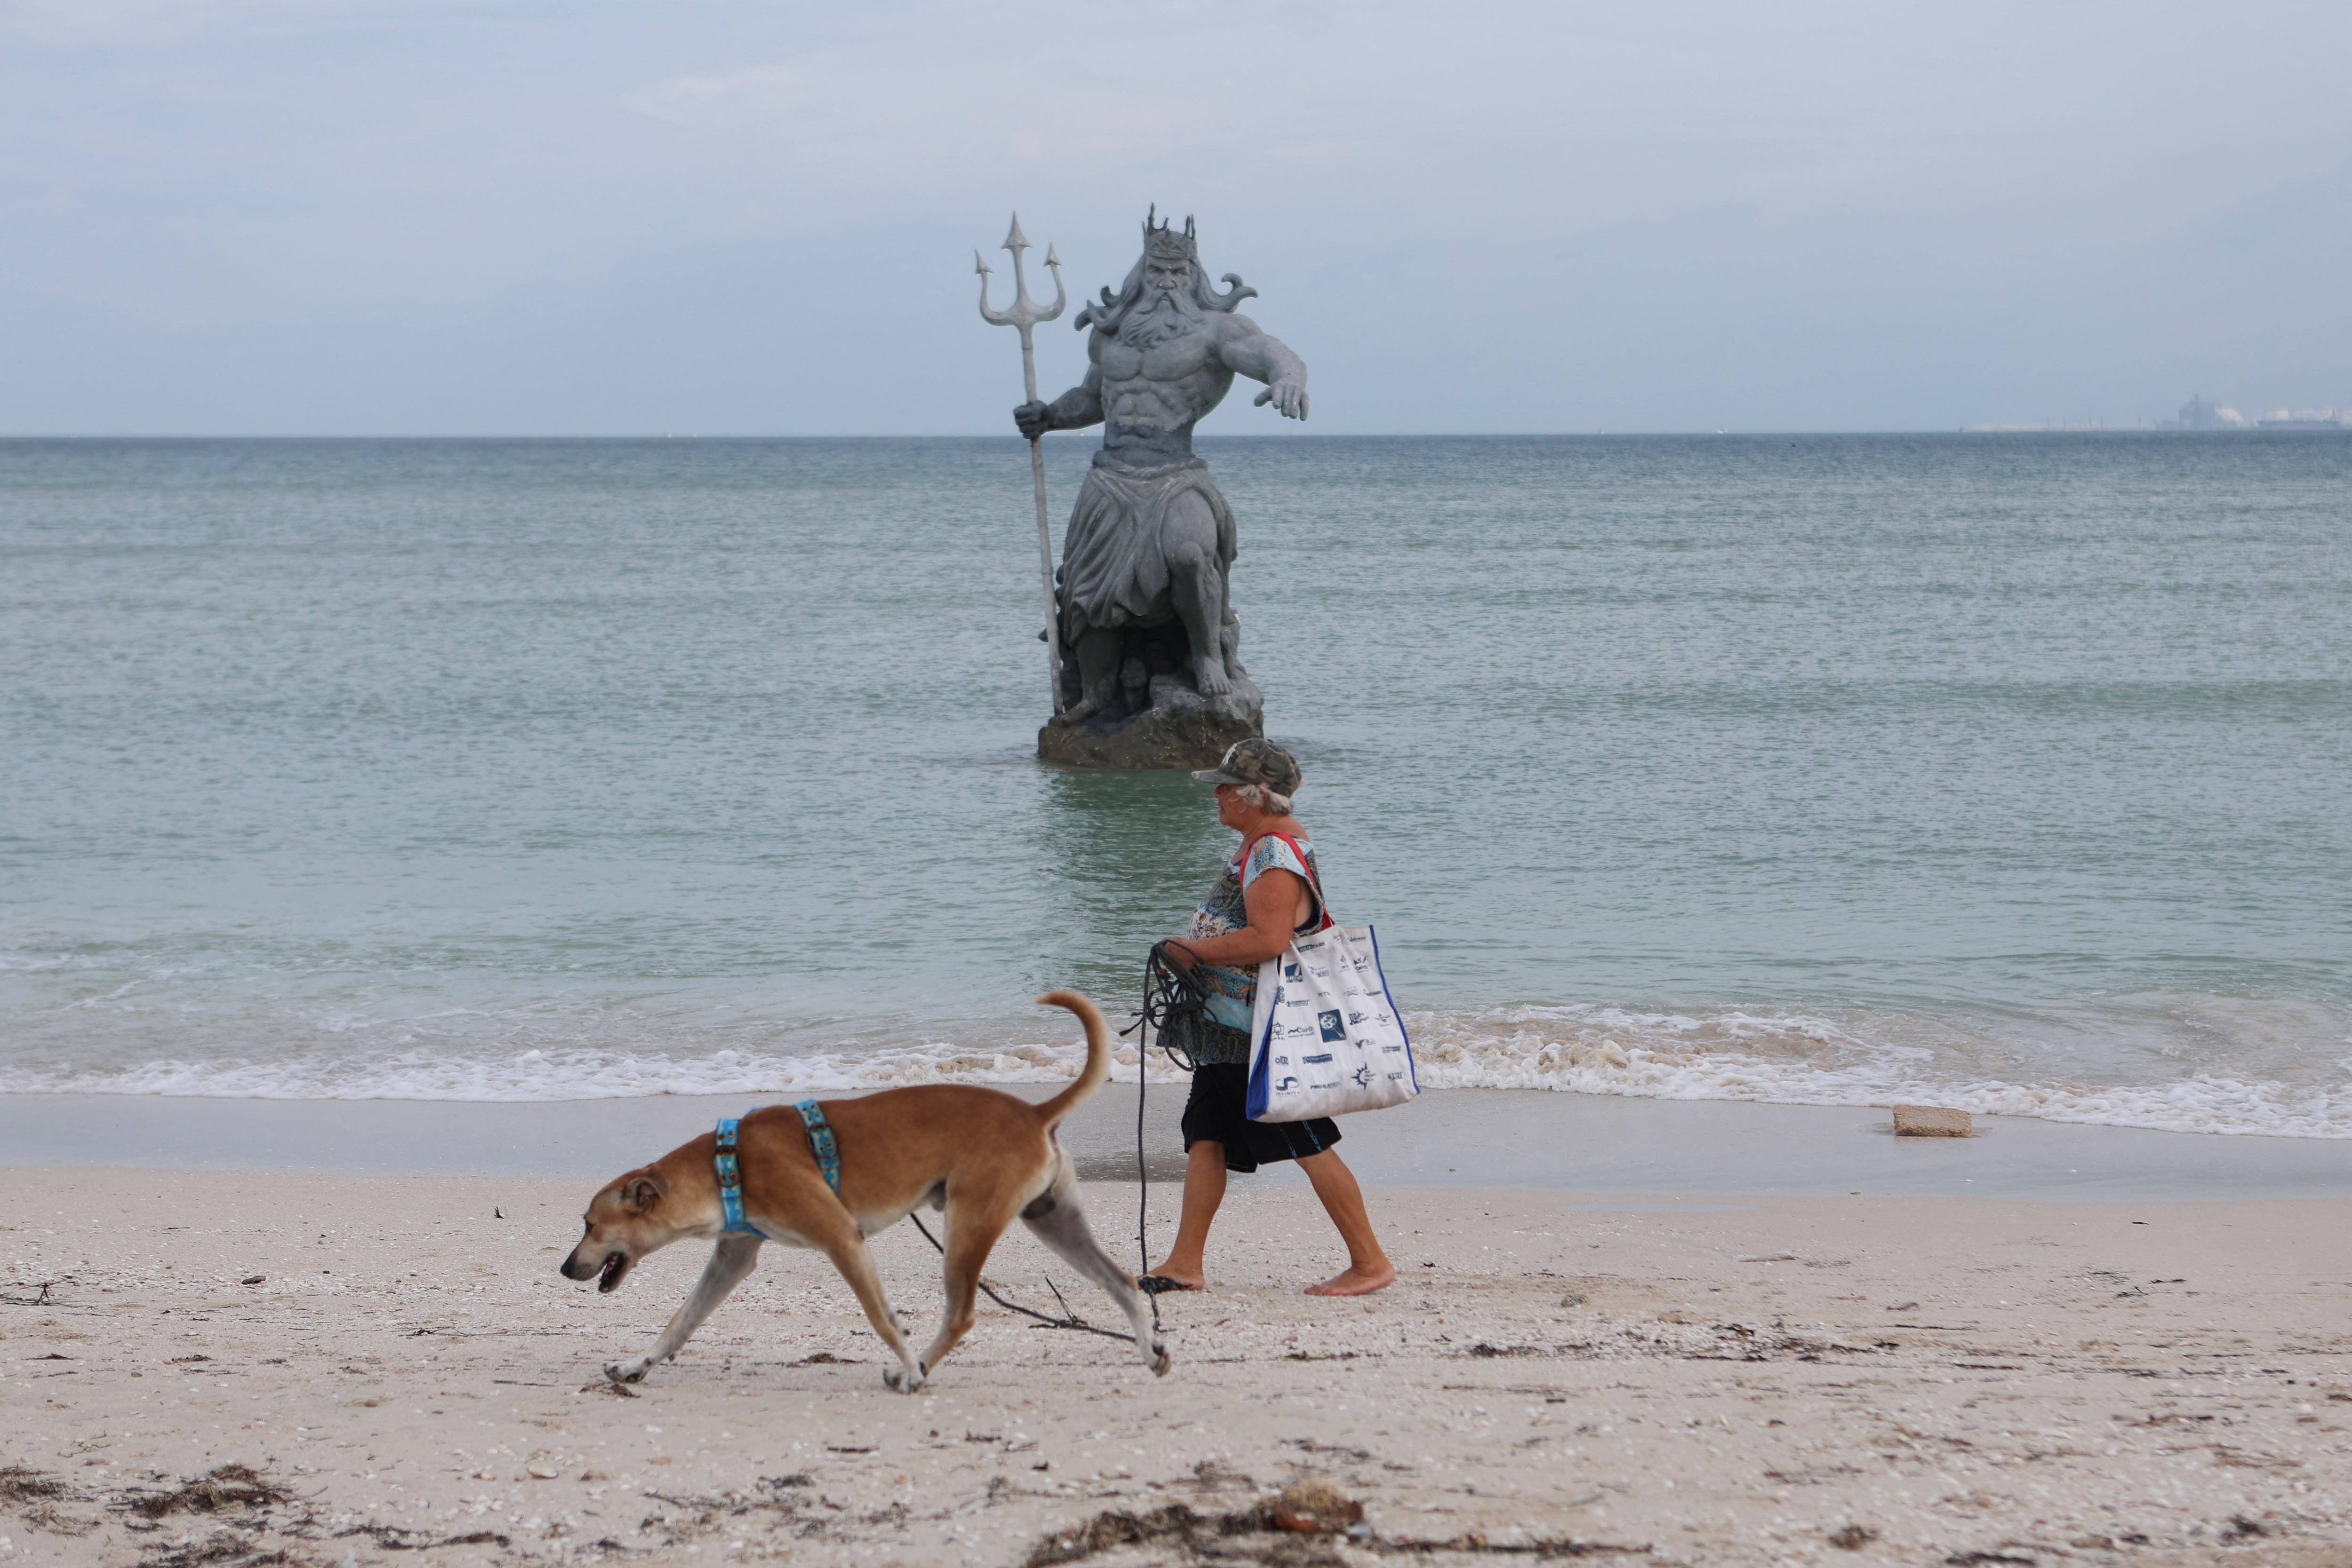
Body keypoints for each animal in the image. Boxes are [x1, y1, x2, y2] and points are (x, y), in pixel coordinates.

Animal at [562, 1001, 1167, 1392]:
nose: (567, 1267)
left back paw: (914, 1371)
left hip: (968, 1226)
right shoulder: (733, 1257)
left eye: (589, 1223)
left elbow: (881, 1319)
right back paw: (1150, 1349)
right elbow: (680, 1321)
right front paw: (636, 1365)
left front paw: (909, 1366)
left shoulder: (841, 1239)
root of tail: (1035, 1113)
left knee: (960, 1315)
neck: (725, 1163)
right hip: (1053, 1220)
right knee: (1121, 1280)